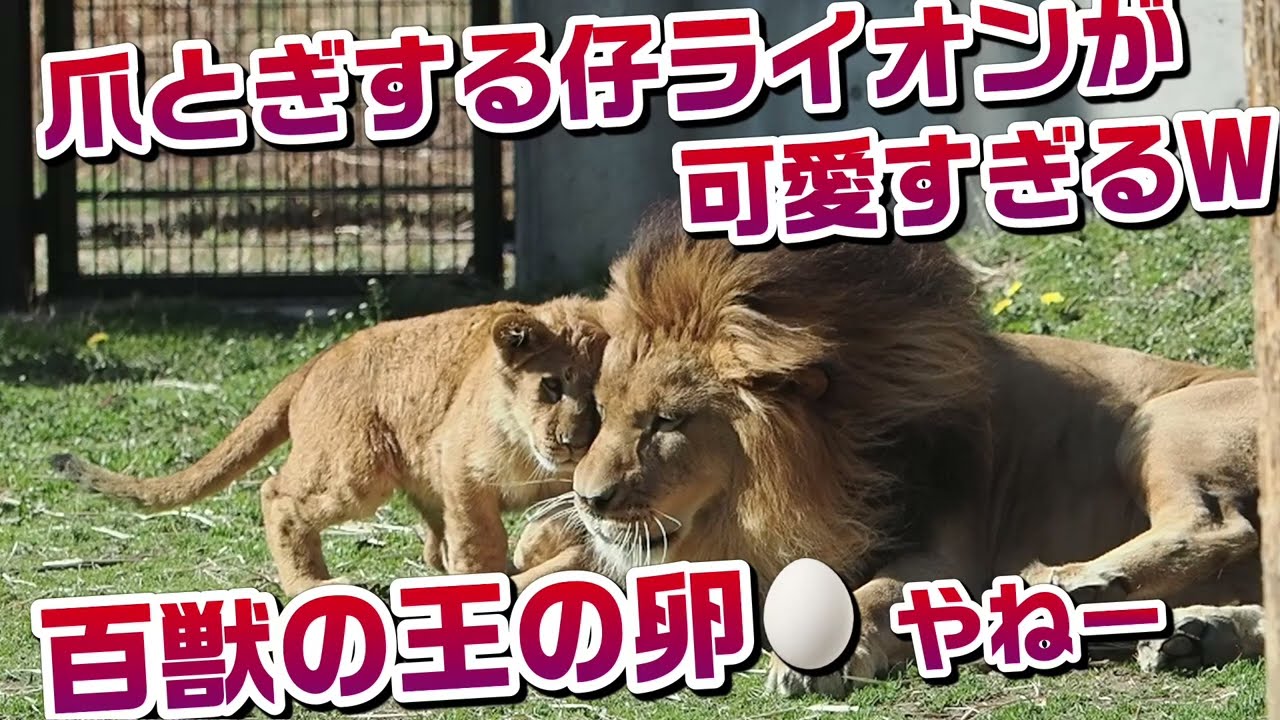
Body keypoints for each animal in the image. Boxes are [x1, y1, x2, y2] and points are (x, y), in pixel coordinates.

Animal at [52, 296, 607, 597]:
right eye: (551, 386)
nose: (572, 442)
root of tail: (318, 359)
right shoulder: (461, 468)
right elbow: (478, 541)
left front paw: (535, 548)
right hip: (353, 473)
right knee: (277, 495)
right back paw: (309, 585)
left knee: (433, 544)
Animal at [533, 200, 1264, 697]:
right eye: (603, 413)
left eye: (666, 422)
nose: (588, 500)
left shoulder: (947, 555)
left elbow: (874, 593)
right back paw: (1195, 634)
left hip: (1158, 421)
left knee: (1217, 523)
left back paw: (1074, 582)